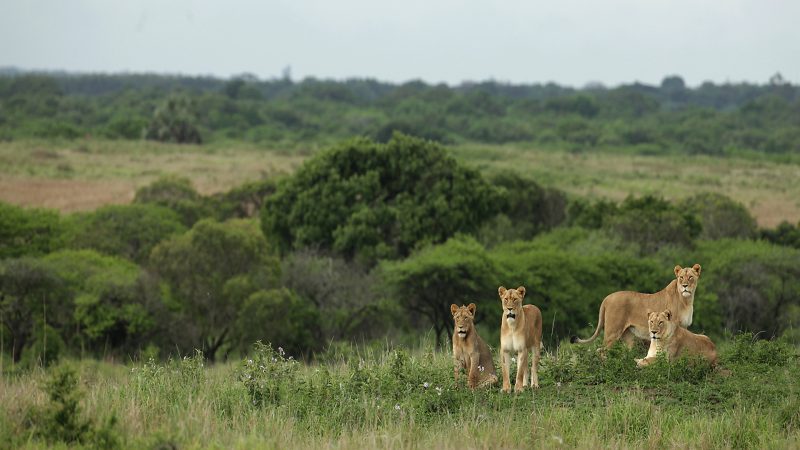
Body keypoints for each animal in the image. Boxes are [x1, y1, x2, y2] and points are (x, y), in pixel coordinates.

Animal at [568, 262, 708, 350]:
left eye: (690, 277)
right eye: (681, 277)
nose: (685, 286)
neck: (686, 300)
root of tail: (607, 298)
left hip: (627, 335)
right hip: (613, 331)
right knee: (601, 351)